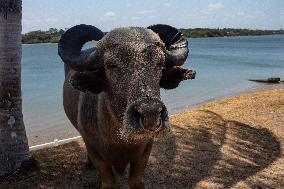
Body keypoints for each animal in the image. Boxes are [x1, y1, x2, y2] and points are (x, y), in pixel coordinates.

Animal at [57, 24, 195, 188]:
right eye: (110, 65)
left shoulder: (144, 152)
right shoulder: (96, 153)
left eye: (160, 64)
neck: (120, 140)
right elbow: (108, 181)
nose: (150, 114)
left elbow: (136, 181)